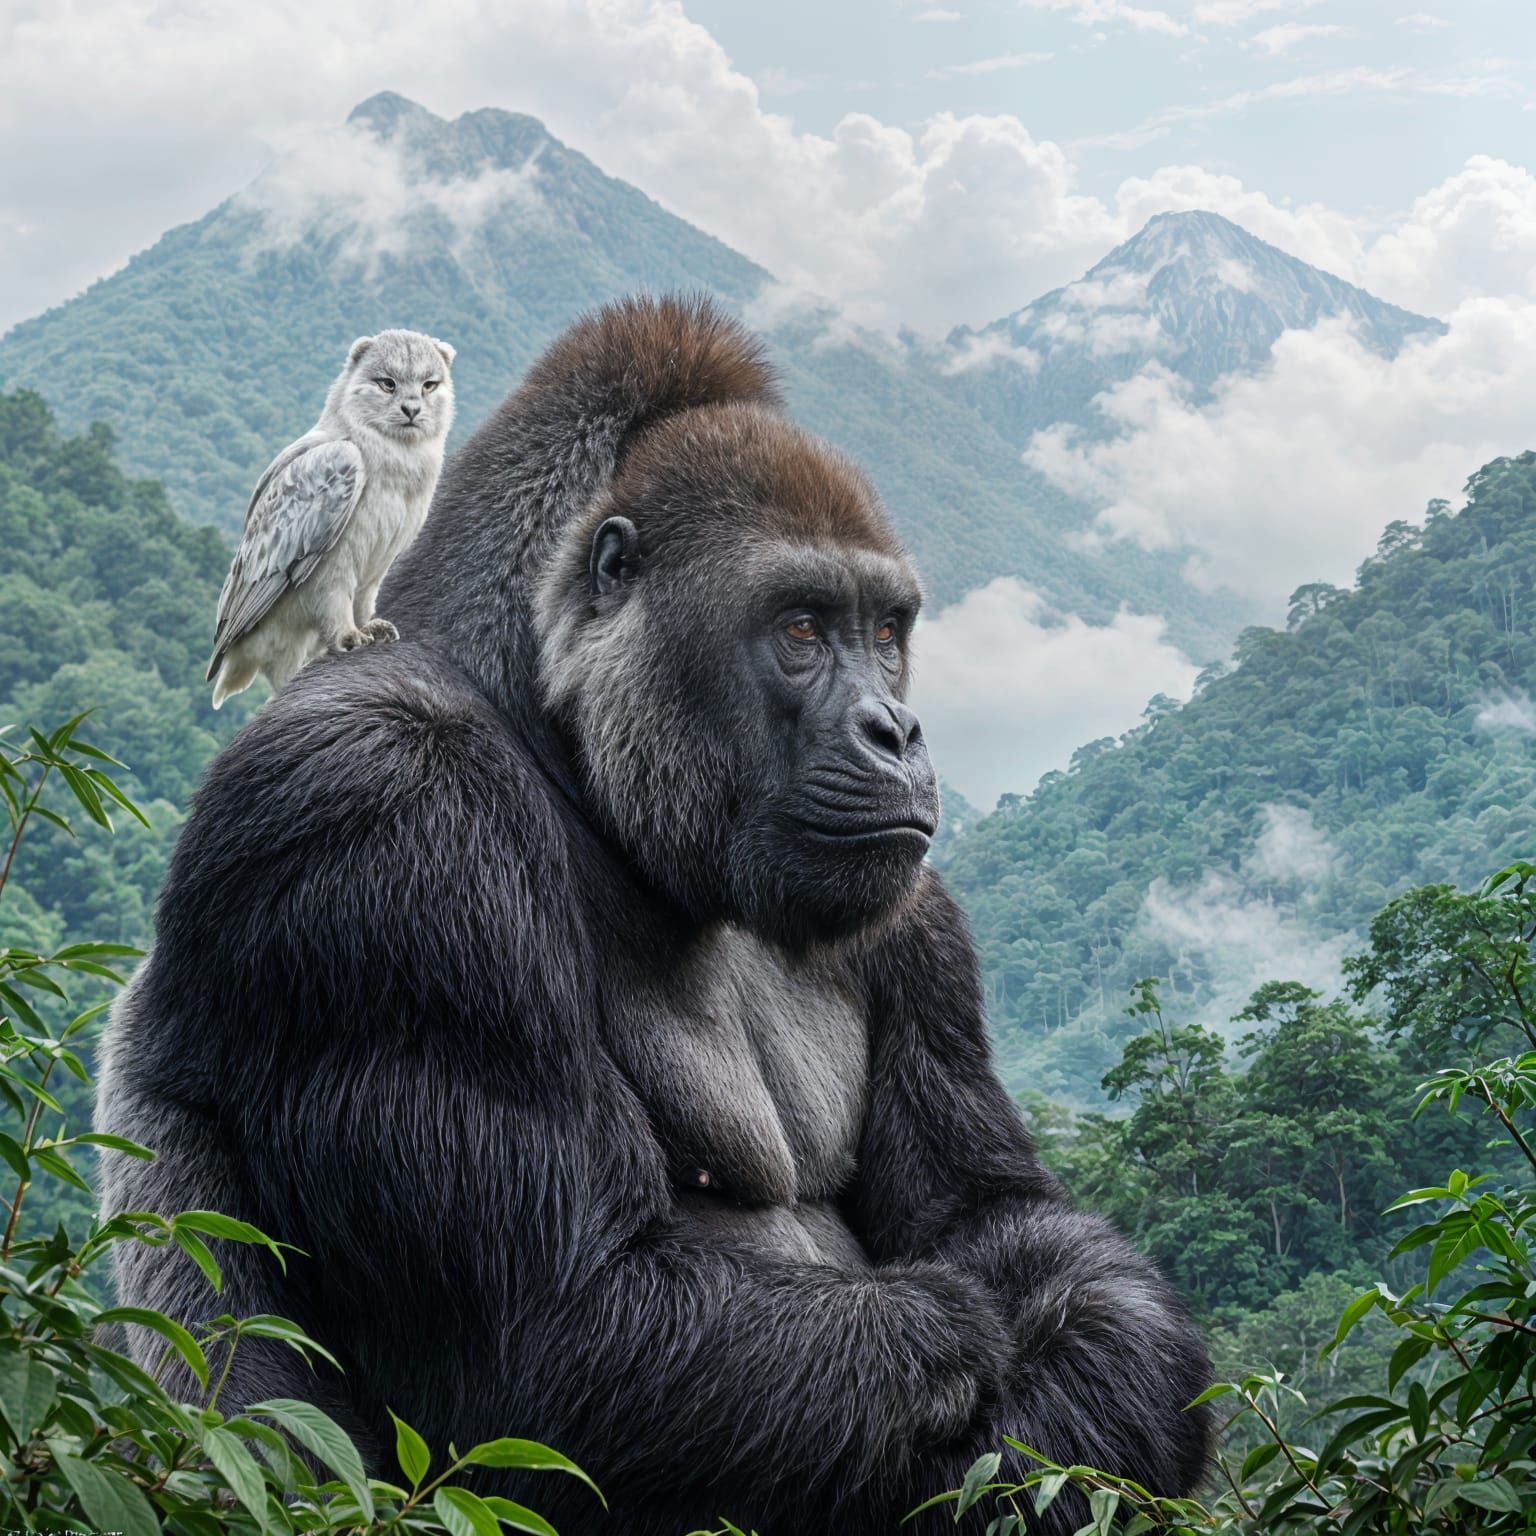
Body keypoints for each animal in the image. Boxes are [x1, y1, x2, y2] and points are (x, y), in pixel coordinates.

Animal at [205, 328, 455, 708]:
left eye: (429, 385)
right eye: (387, 384)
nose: (412, 409)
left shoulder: (376, 571)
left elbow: (364, 600)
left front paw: (370, 626)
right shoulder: (334, 571)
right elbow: (335, 599)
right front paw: (350, 636)